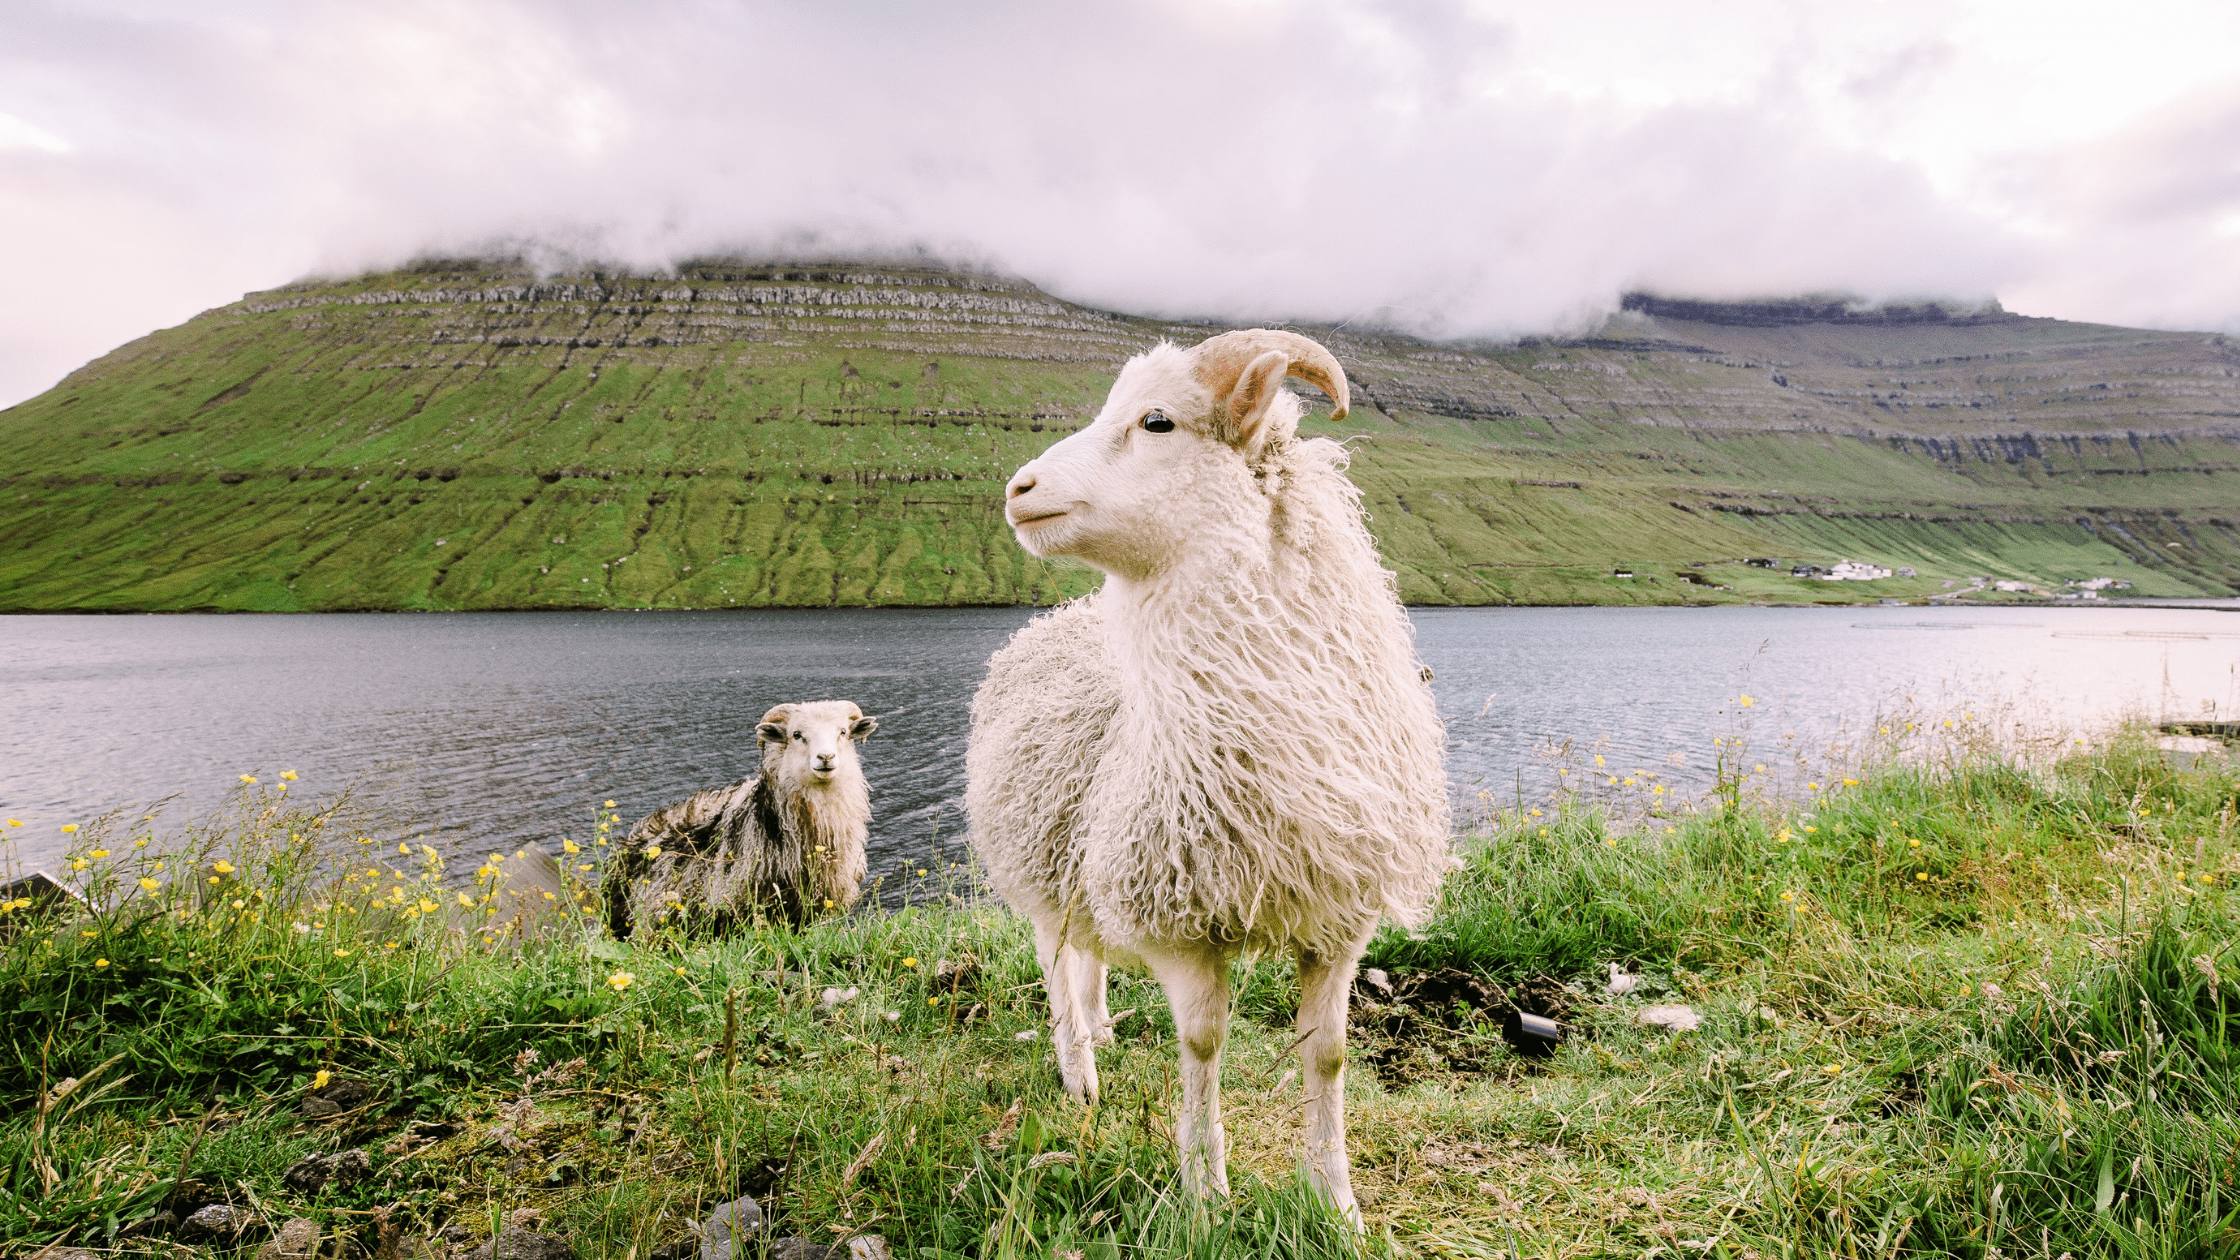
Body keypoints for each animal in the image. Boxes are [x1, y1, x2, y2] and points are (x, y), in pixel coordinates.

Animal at [963, 329, 1451, 1210]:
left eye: (1157, 420)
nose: (1019, 489)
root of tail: (1054, 620)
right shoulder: (1178, 918)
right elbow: (1202, 1044)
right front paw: (1205, 1192)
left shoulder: (1341, 914)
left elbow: (1327, 1052)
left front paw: (1337, 1201)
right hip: (1041, 867)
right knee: (1056, 966)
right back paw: (1078, 1071)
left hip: (1084, 854)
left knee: (1085, 959)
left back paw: (1100, 1030)